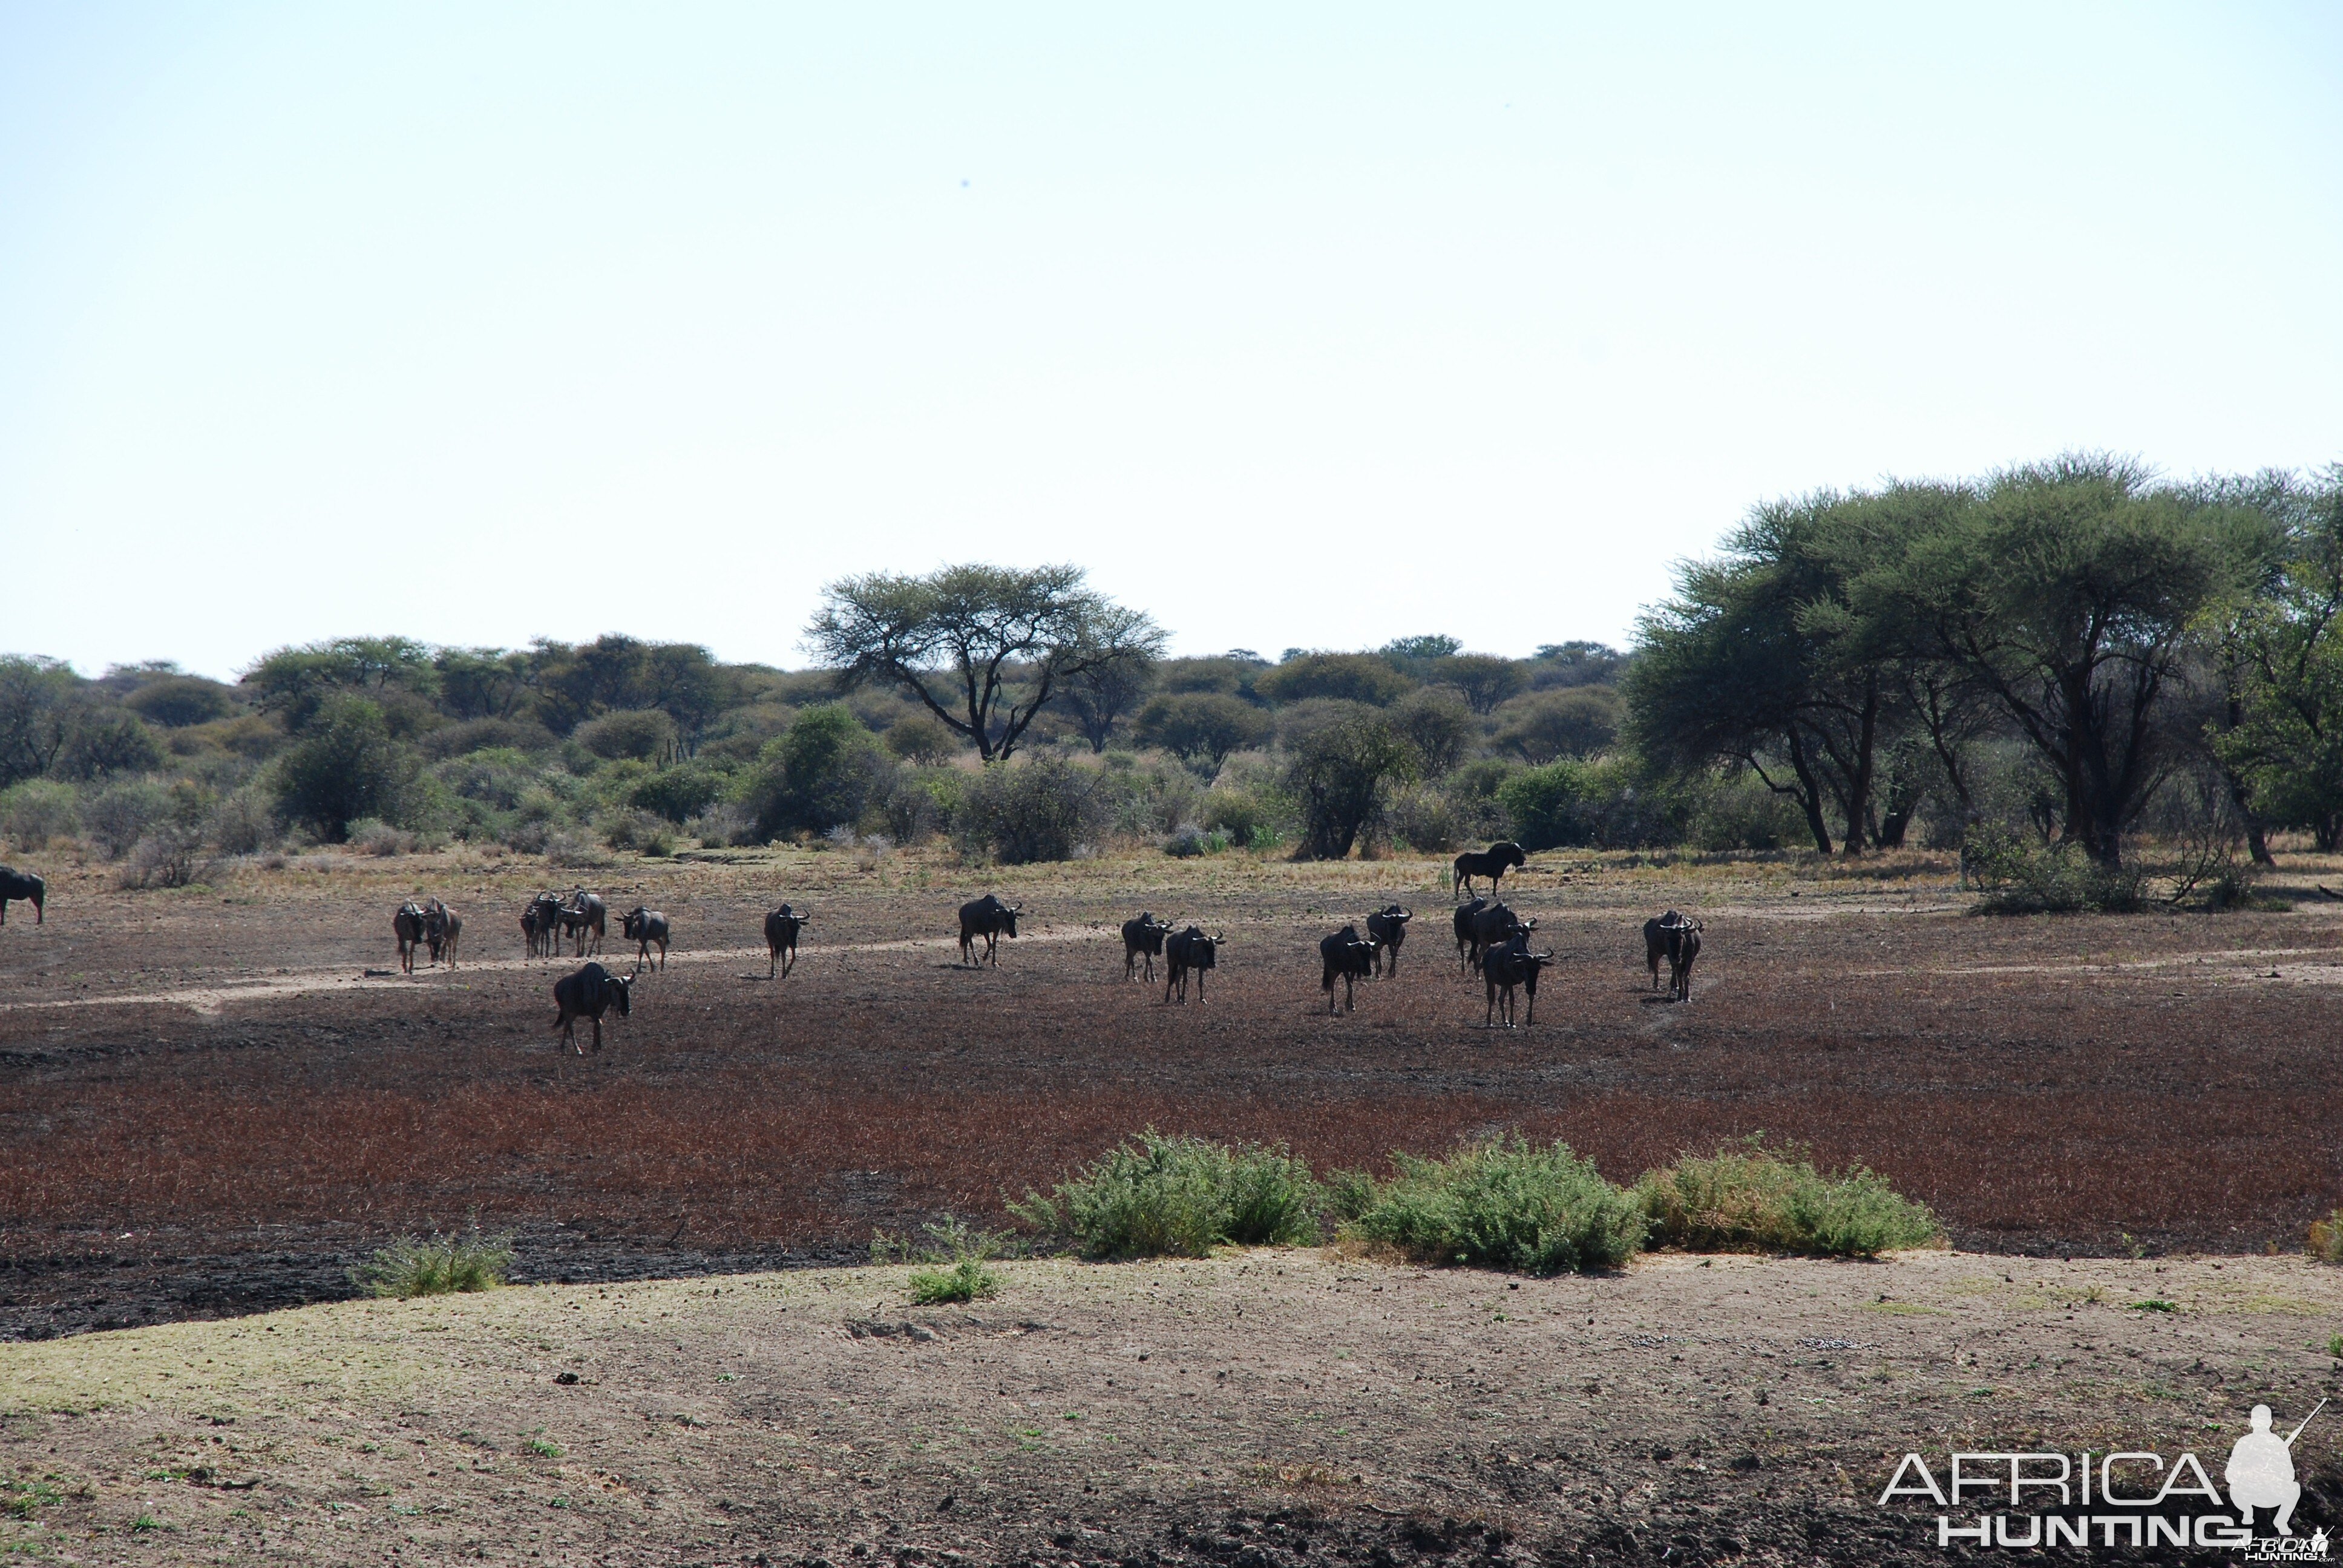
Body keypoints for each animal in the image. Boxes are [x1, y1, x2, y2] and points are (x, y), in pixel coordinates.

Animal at [1321, 918, 1368, 1017]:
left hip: (1337, 971)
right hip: (1330, 969)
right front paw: (1351, 1007)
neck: (1350, 952)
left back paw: (1333, 1008)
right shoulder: (1345, 970)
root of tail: (1323, 943)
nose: (1368, 971)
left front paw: (1349, 1006)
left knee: (1332, 983)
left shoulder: (1353, 970)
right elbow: (1350, 986)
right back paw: (1333, 1008)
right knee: (1332, 985)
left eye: (1370, 953)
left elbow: (1351, 985)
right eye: (1359, 953)